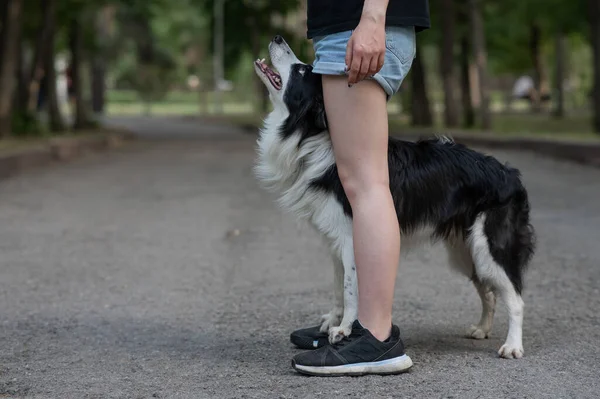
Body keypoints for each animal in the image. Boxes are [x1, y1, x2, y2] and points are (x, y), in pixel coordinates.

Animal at [253, 36, 536, 360]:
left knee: (515, 297)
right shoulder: (334, 239)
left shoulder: (351, 236)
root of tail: (509, 173)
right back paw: (482, 328)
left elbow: (351, 287)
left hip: (490, 245)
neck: (312, 137)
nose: (277, 38)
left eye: (302, 71)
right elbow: (338, 285)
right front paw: (331, 323)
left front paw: (345, 331)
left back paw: (512, 346)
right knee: (488, 290)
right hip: (465, 251)